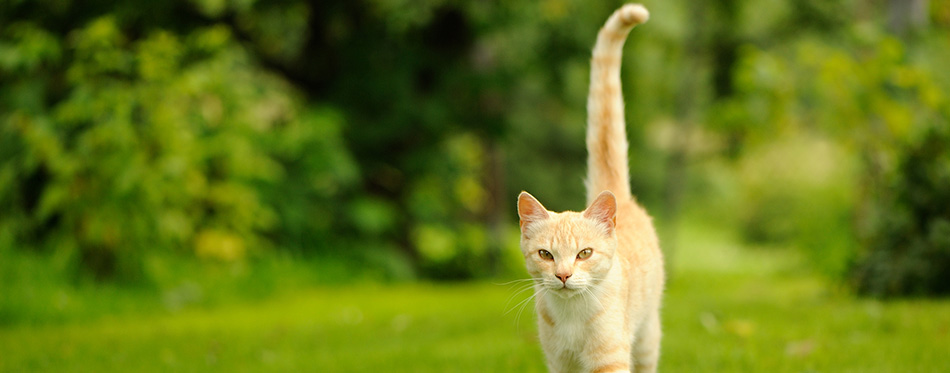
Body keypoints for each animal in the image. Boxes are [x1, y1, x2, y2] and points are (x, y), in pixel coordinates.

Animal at [516, 3, 664, 372]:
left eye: (584, 253)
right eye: (546, 254)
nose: (563, 275)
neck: (571, 317)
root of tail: (620, 197)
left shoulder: (610, 358)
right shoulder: (559, 361)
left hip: (647, 336)